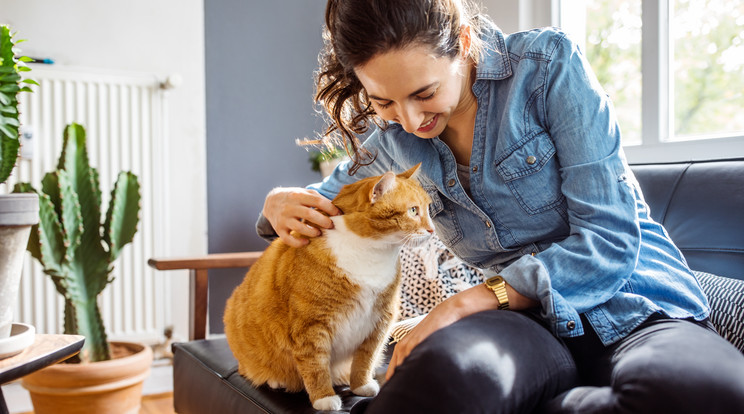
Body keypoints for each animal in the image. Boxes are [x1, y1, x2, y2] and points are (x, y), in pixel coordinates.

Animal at [224, 164, 434, 410]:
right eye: (413, 210)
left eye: (428, 209)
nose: (432, 230)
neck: (371, 252)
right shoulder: (311, 325)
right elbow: (316, 365)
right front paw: (323, 398)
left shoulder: (380, 320)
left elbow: (366, 358)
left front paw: (361, 385)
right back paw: (276, 380)